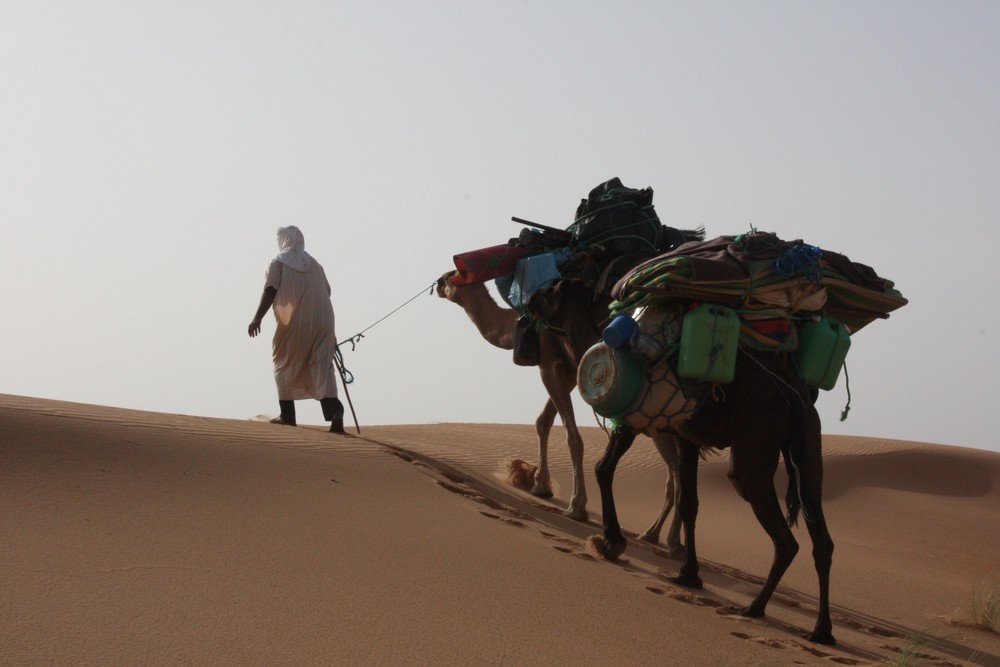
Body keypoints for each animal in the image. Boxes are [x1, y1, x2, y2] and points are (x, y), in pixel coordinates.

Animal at [438, 272, 688, 560]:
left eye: (450, 277)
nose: (437, 284)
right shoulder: (568, 373)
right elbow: (544, 421)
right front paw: (541, 485)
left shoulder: (550, 366)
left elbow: (570, 437)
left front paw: (574, 505)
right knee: (675, 473)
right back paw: (654, 535)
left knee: (677, 473)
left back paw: (670, 541)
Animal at [532, 280, 836, 648]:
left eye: (550, 292)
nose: (530, 304)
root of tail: (793, 395)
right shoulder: (686, 438)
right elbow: (689, 501)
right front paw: (688, 573)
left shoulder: (632, 420)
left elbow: (603, 469)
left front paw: (612, 542)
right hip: (808, 448)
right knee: (821, 536)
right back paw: (821, 630)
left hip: (755, 446)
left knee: (784, 537)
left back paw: (755, 608)